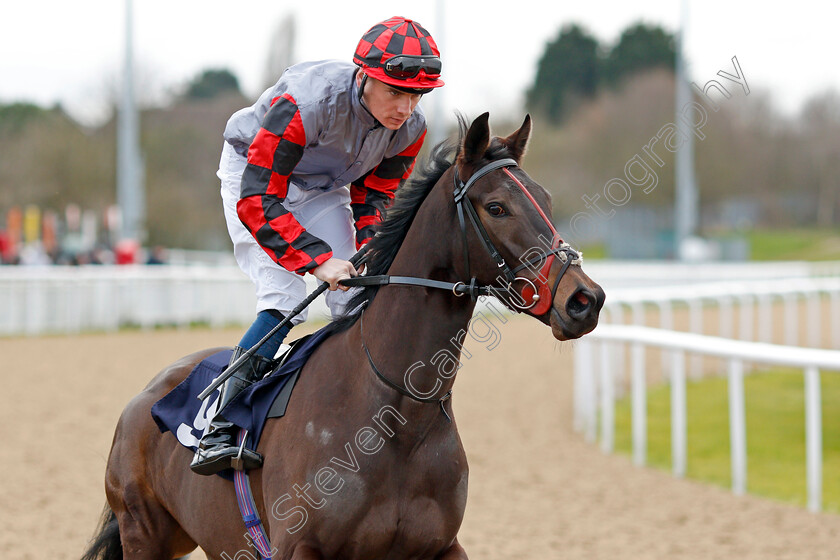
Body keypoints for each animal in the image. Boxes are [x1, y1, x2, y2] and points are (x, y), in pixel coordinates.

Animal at [82, 114, 604, 560]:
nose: (585, 300)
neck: (396, 416)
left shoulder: (441, 546)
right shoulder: (298, 547)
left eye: (547, 201)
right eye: (497, 207)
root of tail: (144, 396)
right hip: (144, 532)